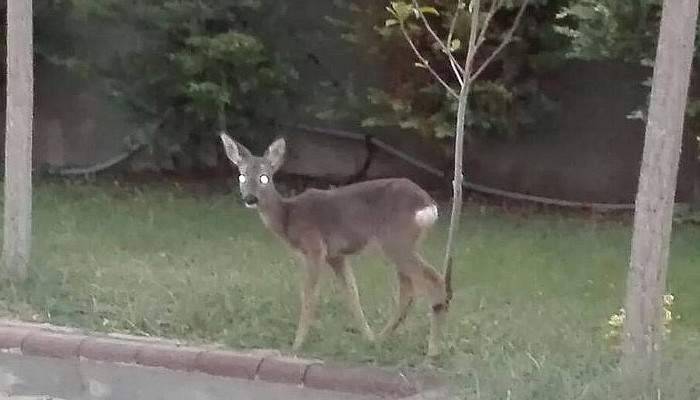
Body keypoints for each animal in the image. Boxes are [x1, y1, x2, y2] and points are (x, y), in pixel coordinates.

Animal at [221, 132, 456, 356]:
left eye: (264, 177)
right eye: (242, 176)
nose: (250, 199)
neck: (289, 217)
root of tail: (428, 205)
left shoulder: (315, 247)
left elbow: (309, 296)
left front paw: (297, 344)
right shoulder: (336, 255)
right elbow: (352, 294)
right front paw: (367, 337)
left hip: (396, 240)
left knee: (433, 281)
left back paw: (433, 350)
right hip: (403, 244)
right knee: (408, 290)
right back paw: (382, 338)